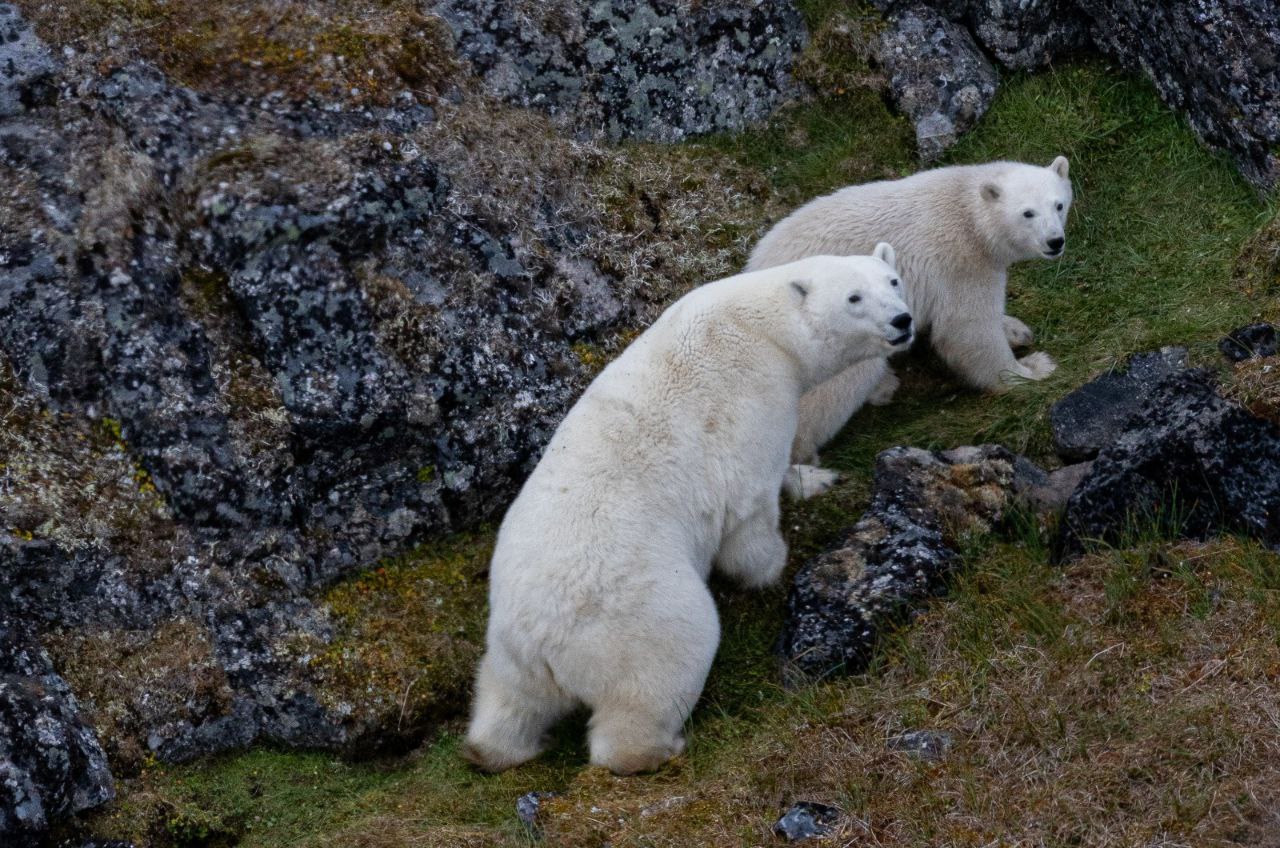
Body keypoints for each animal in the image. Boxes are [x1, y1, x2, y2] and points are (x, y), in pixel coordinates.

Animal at [463, 250, 912, 775]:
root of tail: (539, 639)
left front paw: (815, 478)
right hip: (643, 618)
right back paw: (661, 746)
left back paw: (500, 749)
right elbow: (747, 512)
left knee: (506, 703)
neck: (759, 326)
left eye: (893, 280)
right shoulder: (754, 399)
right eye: (854, 298)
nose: (902, 321)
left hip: (508, 654)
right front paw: (774, 563)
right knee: (664, 669)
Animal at [748, 158, 1072, 468]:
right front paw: (1033, 369)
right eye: (1027, 213)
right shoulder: (960, 261)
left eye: (1058, 204)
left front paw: (1017, 330)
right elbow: (968, 329)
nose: (1055, 241)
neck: (969, 213)